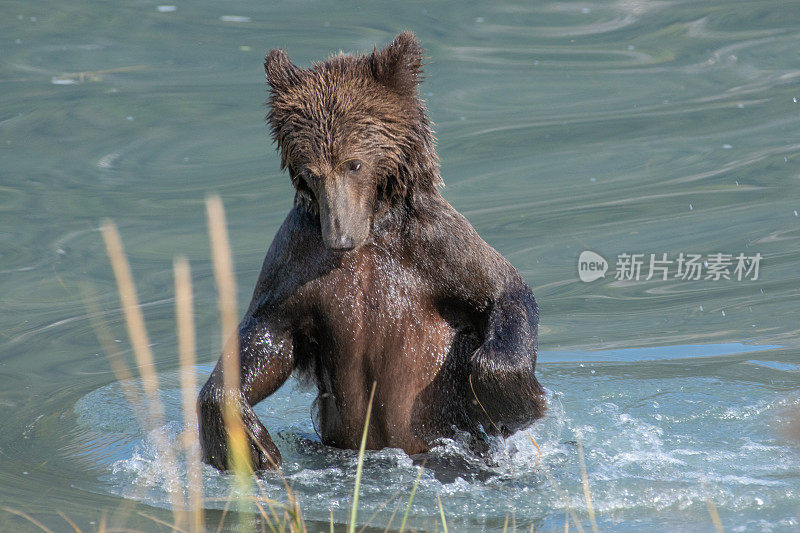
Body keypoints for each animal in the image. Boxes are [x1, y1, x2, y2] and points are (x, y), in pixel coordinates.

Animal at [199, 31, 548, 468]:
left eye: (354, 164)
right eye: (311, 170)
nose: (340, 237)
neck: (372, 231)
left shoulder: (437, 245)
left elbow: (503, 291)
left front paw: (516, 401)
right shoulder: (294, 259)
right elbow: (268, 336)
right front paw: (248, 441)